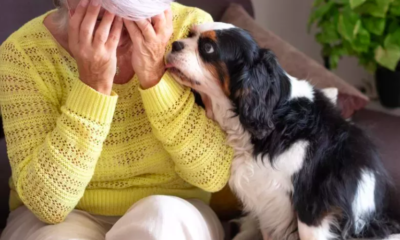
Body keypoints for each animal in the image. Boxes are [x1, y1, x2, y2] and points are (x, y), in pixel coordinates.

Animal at [165, 23, 400, 240]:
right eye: (189, 35)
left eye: (208, 48)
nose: (175, 44)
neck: (275, 116)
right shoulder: (266, 201)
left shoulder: (312, 207)